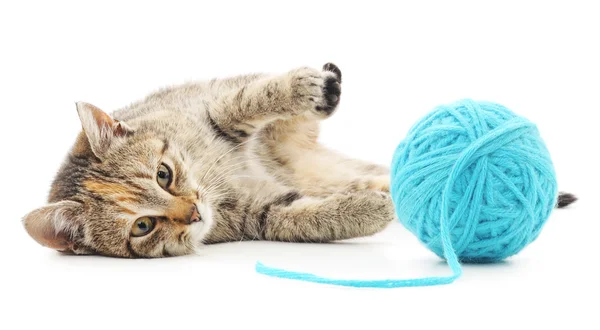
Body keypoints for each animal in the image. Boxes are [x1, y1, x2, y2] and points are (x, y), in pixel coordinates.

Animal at [23, 62, 398, 258]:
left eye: (163, 175)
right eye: (143, 226)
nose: (194, 212)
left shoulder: (212, 110)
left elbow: (246, 101)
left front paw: (299, 89)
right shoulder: (262, 214)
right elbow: (308, 218)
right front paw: (372, 209)